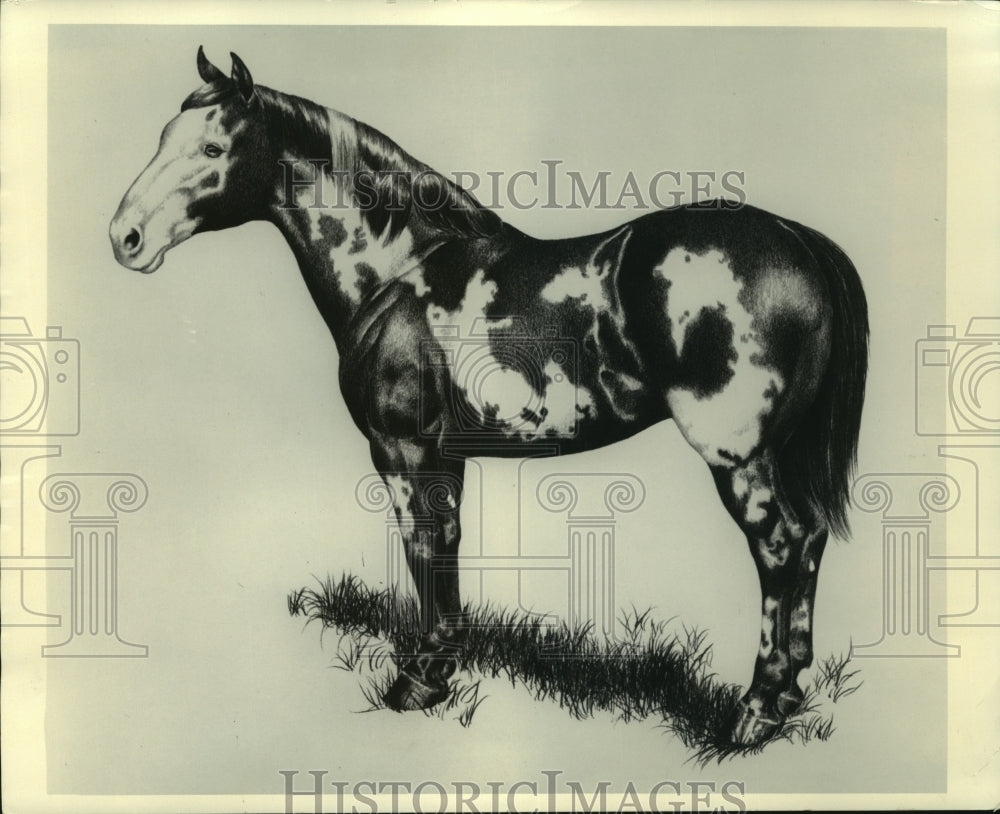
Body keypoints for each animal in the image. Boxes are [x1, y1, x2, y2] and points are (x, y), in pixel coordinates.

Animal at [110, 48, 868, 746]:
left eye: (213, 148)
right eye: (162, 138)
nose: (125, 238)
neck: (401, 270)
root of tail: (798, 241)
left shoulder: (402, 448)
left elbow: (422, 545)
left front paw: (417, 681)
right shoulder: (446, 455)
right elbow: (446, 545)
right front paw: (442, 666)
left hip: (738, 455)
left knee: (782, 548)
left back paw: (755, 713)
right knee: (809, 543)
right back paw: (787, 698)